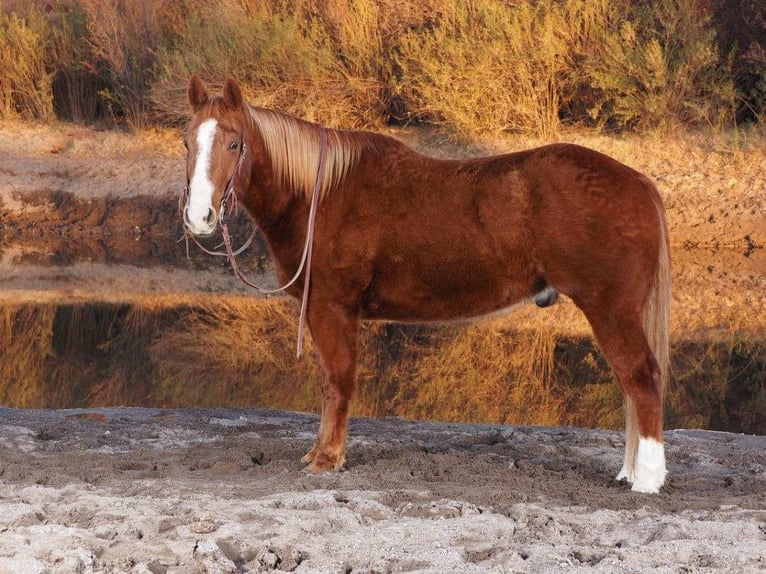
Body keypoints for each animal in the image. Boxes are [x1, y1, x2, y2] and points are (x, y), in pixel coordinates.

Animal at [182, 76, 672, 496]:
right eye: (188, 142)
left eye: (233, 142)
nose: (199, 217)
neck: (318, 195)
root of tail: (638, 181)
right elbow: (327, 382)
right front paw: (320, 453)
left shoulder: (332, 307)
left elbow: (338, 382)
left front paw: (327, 459)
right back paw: (630, 473)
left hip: (611, 310)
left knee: (642, 378)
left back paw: (647, 480)